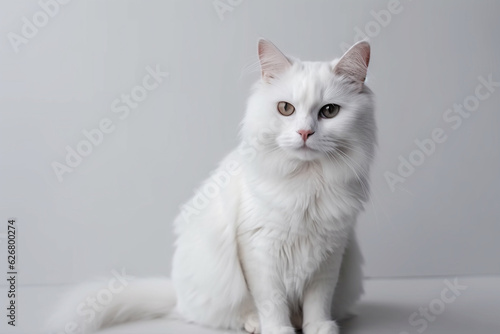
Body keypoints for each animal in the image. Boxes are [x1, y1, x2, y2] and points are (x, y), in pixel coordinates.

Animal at [47, 39, 376, 334]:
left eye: (329, 111)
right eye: (286, 109)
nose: (305, 133)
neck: (307, 182)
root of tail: (177, 299)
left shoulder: (330, 253)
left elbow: (318, 300)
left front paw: (318, 327)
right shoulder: (259, 250)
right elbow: (272, 300)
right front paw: (278, 329)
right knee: (228, 315)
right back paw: (255, 324)